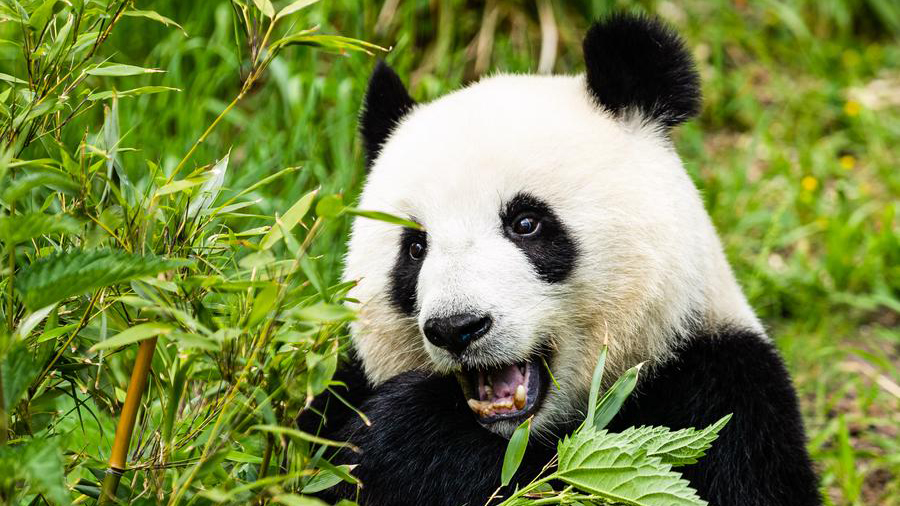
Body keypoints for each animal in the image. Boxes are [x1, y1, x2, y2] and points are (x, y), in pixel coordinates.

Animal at [298, 12, 820, 506]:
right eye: (415, 247)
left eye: (526, 223)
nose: (456, 327)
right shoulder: (339, 385)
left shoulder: (723, 392)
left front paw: (408, 436)